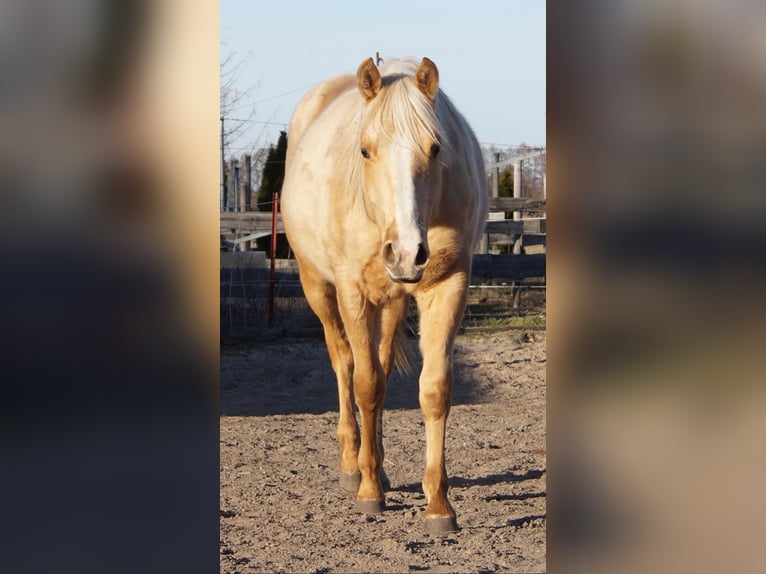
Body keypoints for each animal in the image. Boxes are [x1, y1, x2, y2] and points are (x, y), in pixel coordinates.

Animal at [280, 58, 486, 536]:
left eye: (435, 148)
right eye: (365, 151)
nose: (407, 252)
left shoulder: (448, 286)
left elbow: (433, 389)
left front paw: (439, 505)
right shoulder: (353, 292)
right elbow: (365, 384)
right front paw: (369, 491)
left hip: (391, 303)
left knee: (383, 366)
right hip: (320, 290)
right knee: (345, 365)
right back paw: (352, 464)